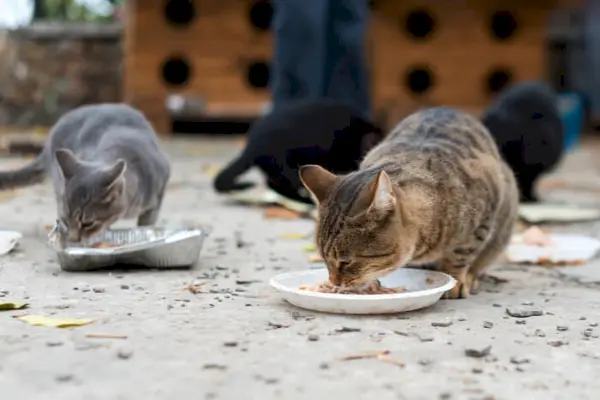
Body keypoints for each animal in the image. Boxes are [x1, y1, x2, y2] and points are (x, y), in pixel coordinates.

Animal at [300, 108, 520, 298]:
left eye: (346, 262)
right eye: (323, 258)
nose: (334, 282)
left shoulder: (485, 213)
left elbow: (461, 254)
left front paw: (455, 280)